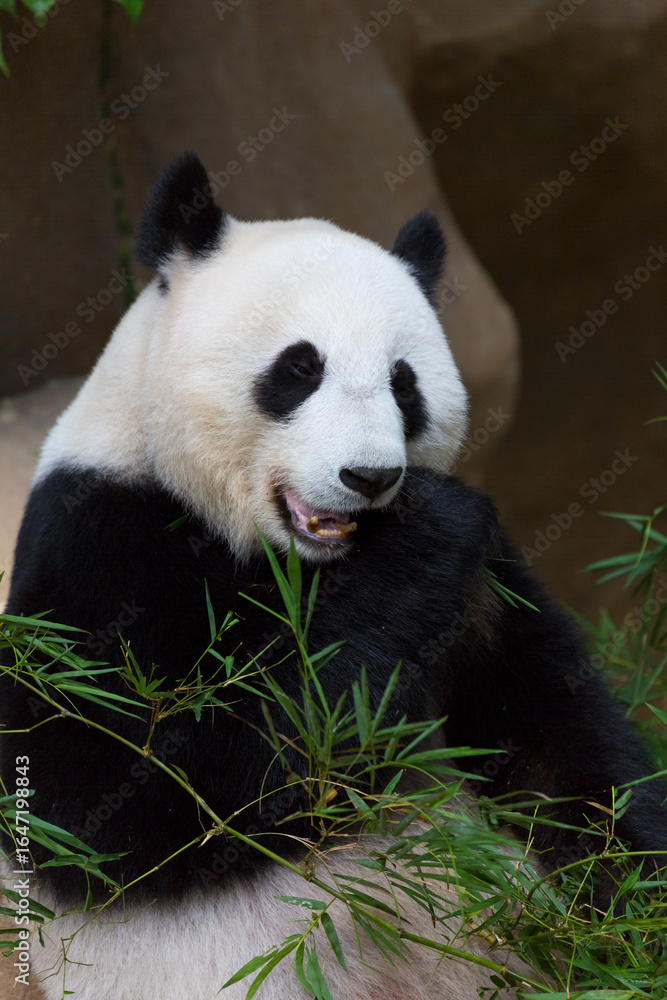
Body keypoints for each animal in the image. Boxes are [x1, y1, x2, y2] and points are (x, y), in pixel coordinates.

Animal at [1, 152, 666, 1000]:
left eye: (404, 383)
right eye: (298, 368)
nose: (369, 477)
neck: (297, 564)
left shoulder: (487, 583)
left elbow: (555, 746)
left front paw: (632, 931)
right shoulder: (98, 544)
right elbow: (114, 795)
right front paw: (423, 529)